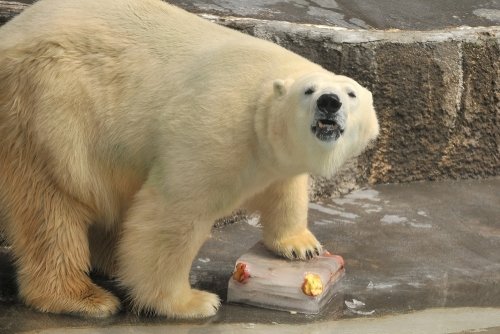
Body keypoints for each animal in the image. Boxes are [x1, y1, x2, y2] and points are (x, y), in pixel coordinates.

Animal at [0, 0, 376, 318]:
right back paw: (83, 297)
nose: (329, 102)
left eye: (351, 93)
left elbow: (285, 189)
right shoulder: (216, 127)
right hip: (50, 103)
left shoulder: (275, 153)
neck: (261, 104)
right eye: (308, 91)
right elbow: (174, 212)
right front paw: (190, 302)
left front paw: (302, 246)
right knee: (53, 203)